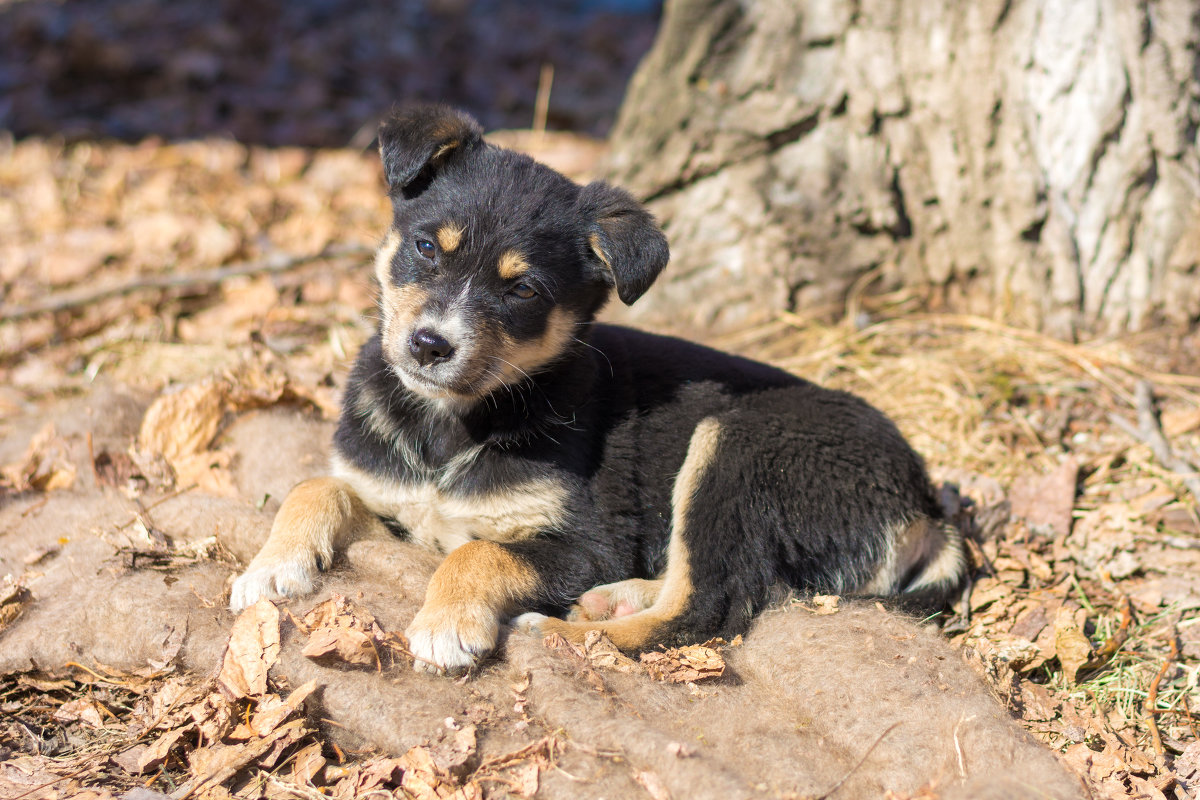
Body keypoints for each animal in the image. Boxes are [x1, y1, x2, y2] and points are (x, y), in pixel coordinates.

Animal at [231, 103, 964, 671]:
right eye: (426, 248)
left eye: (523, 290)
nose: (429, 346)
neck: (450, 425)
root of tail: (924, 502)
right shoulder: (392, 500)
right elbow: (315, 484)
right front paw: (271, 566)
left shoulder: (587, 544)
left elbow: (477, 551)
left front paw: (447, 625)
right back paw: (615, 598)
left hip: (737, 444)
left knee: (710, 605)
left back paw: (563, 631)